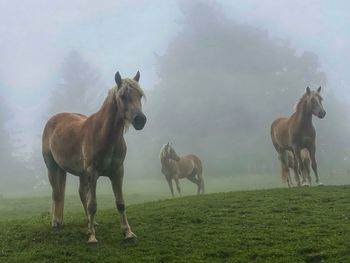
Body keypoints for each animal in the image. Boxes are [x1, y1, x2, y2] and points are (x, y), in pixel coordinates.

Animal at [42, 71, 146, 244]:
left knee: (80, 194)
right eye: (123, 96)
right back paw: (56, 222)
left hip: (79, 173)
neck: (104, 135)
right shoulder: (93, 173)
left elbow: (120, 203)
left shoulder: (118, 172)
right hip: (53, 167)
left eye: (140, 95)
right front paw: (92, 236)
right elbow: (93, 205)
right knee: (56, 193)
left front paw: (128, 233)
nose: (140, 120)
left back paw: (90, 222)